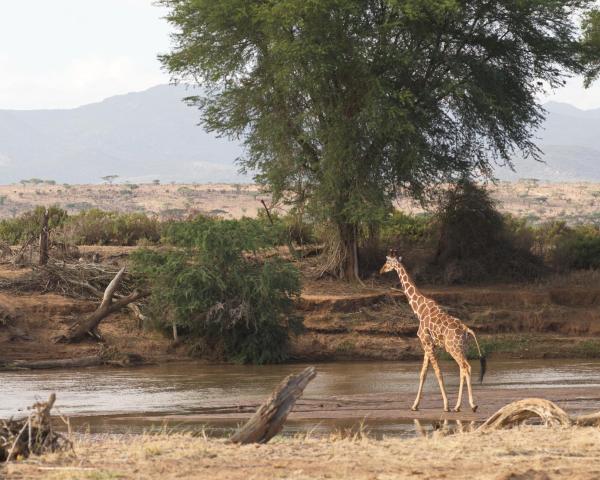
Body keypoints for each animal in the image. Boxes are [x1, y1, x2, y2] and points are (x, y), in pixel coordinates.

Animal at [382, 249, 486, 410]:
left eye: (387, 261)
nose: (381, 270)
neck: (419, 309)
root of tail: (466, 329)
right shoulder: (428, 344)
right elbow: (423, 374)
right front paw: (415, 405)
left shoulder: (427, 343)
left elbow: (438, 373)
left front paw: (446, 405)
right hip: (462, 348)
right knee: (462, 369)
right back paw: (458, 406)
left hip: (453, 348)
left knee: (465, 367)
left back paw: (472, 405)